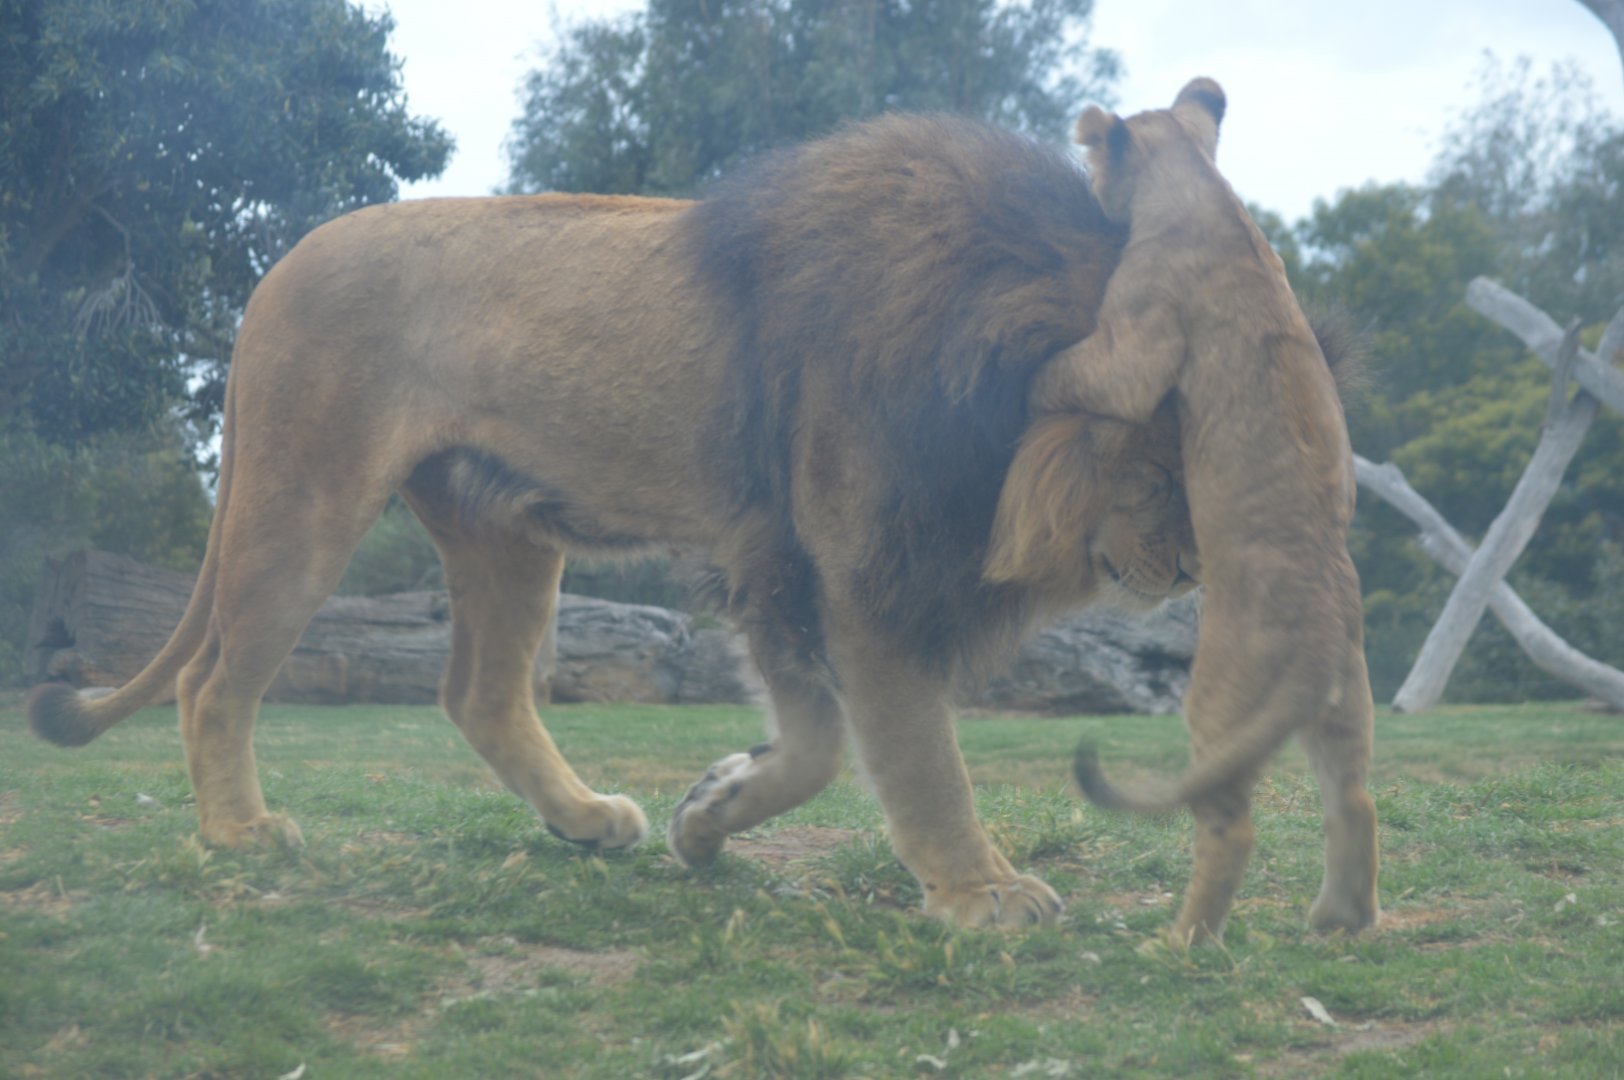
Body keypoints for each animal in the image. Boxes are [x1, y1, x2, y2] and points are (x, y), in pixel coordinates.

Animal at [28, 102, 1349, 935]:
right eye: (1176, 454)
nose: (1191, 571)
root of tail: (275, 272)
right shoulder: (858, 574)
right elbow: (916, 758)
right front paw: (984, 896)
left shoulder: (784, 567)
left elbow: (815, 746)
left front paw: (709, 811)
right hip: (303, 495)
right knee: (217, 680)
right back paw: (242, 836)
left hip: (508, 531)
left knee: (479, 693)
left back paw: (585, 823)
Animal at [1027, 79, 1381, 944]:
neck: (1204, 191)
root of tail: (1322, 636)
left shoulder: (1134, 342)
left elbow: (1071, 372)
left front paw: (1029, 380)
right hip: (1347, 707)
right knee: (1354, 799)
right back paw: (1339, 920)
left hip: (1219, 696)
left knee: (1231, 826)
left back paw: (1180, 941)